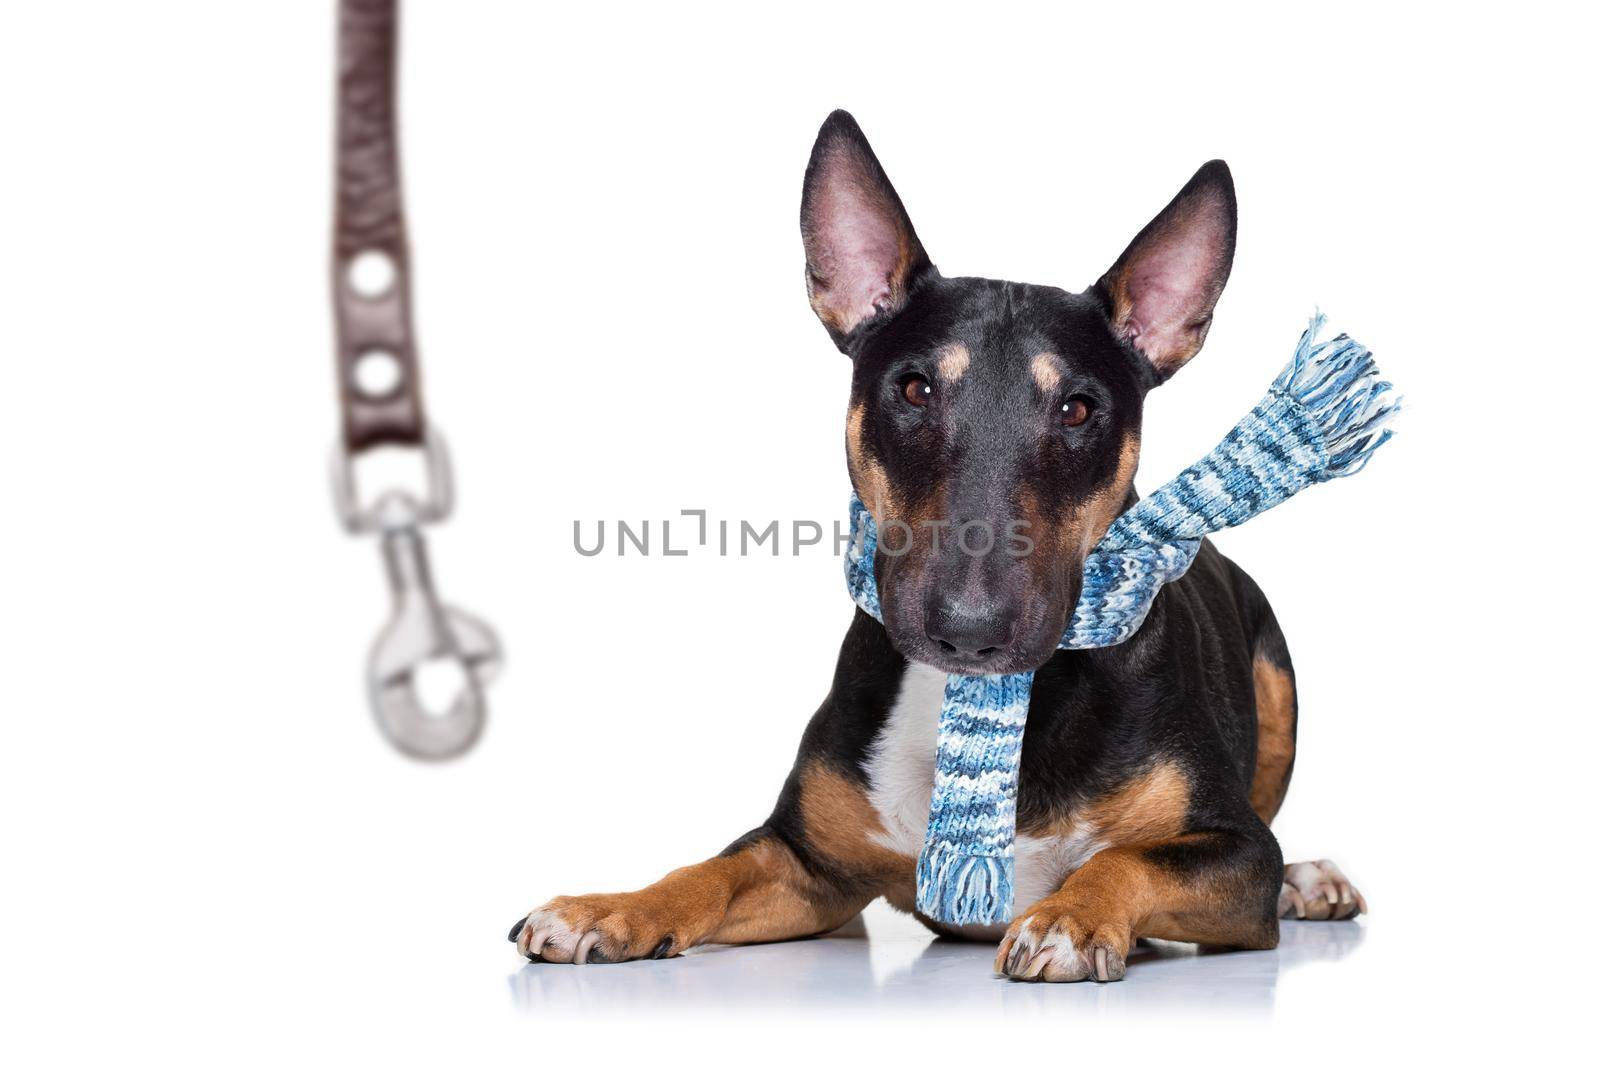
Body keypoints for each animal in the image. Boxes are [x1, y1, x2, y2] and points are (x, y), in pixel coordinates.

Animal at [508, 110, 1363, 985]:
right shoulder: (806, 863)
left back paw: (1312, 879)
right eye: (914, 388)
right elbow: (708, 868)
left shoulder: (1237, 854)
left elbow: (1130, 858)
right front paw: (607, 908)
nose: (970, 632)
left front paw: (1070, 918)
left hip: (1276, 678)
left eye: (1079, 408)